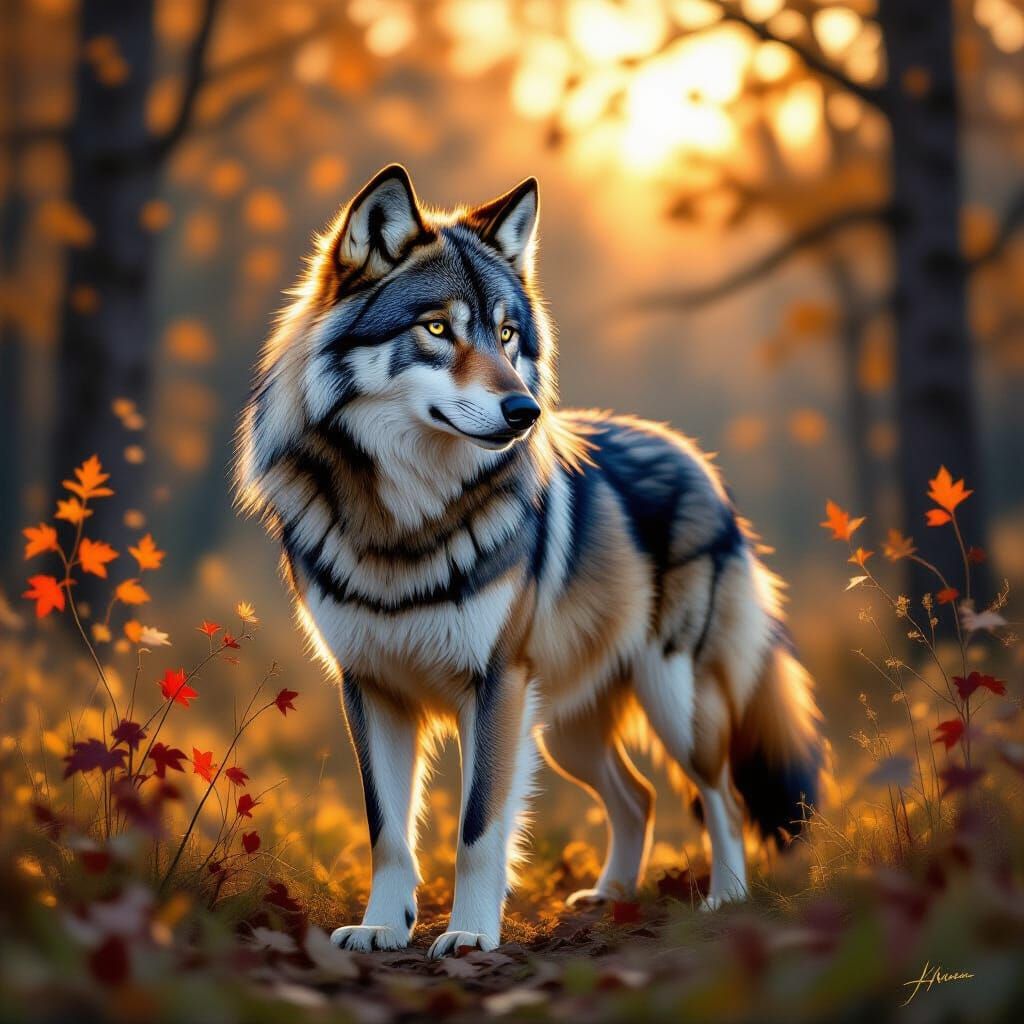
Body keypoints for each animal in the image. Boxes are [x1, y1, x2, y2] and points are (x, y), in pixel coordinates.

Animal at [236, 164, 822, 958]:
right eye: (437, 328)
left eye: (508, 335)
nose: (524, 413)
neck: (407, 520)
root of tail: (695, 458)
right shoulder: (371, 688)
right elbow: (387, 830)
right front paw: (383, 927)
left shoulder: (495, 686)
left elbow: (478, 827)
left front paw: (471, 934)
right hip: (563, 728)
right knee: (638, 796)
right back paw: (610, 895)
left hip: (670, 700)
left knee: (719, 795)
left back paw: (725, 899)